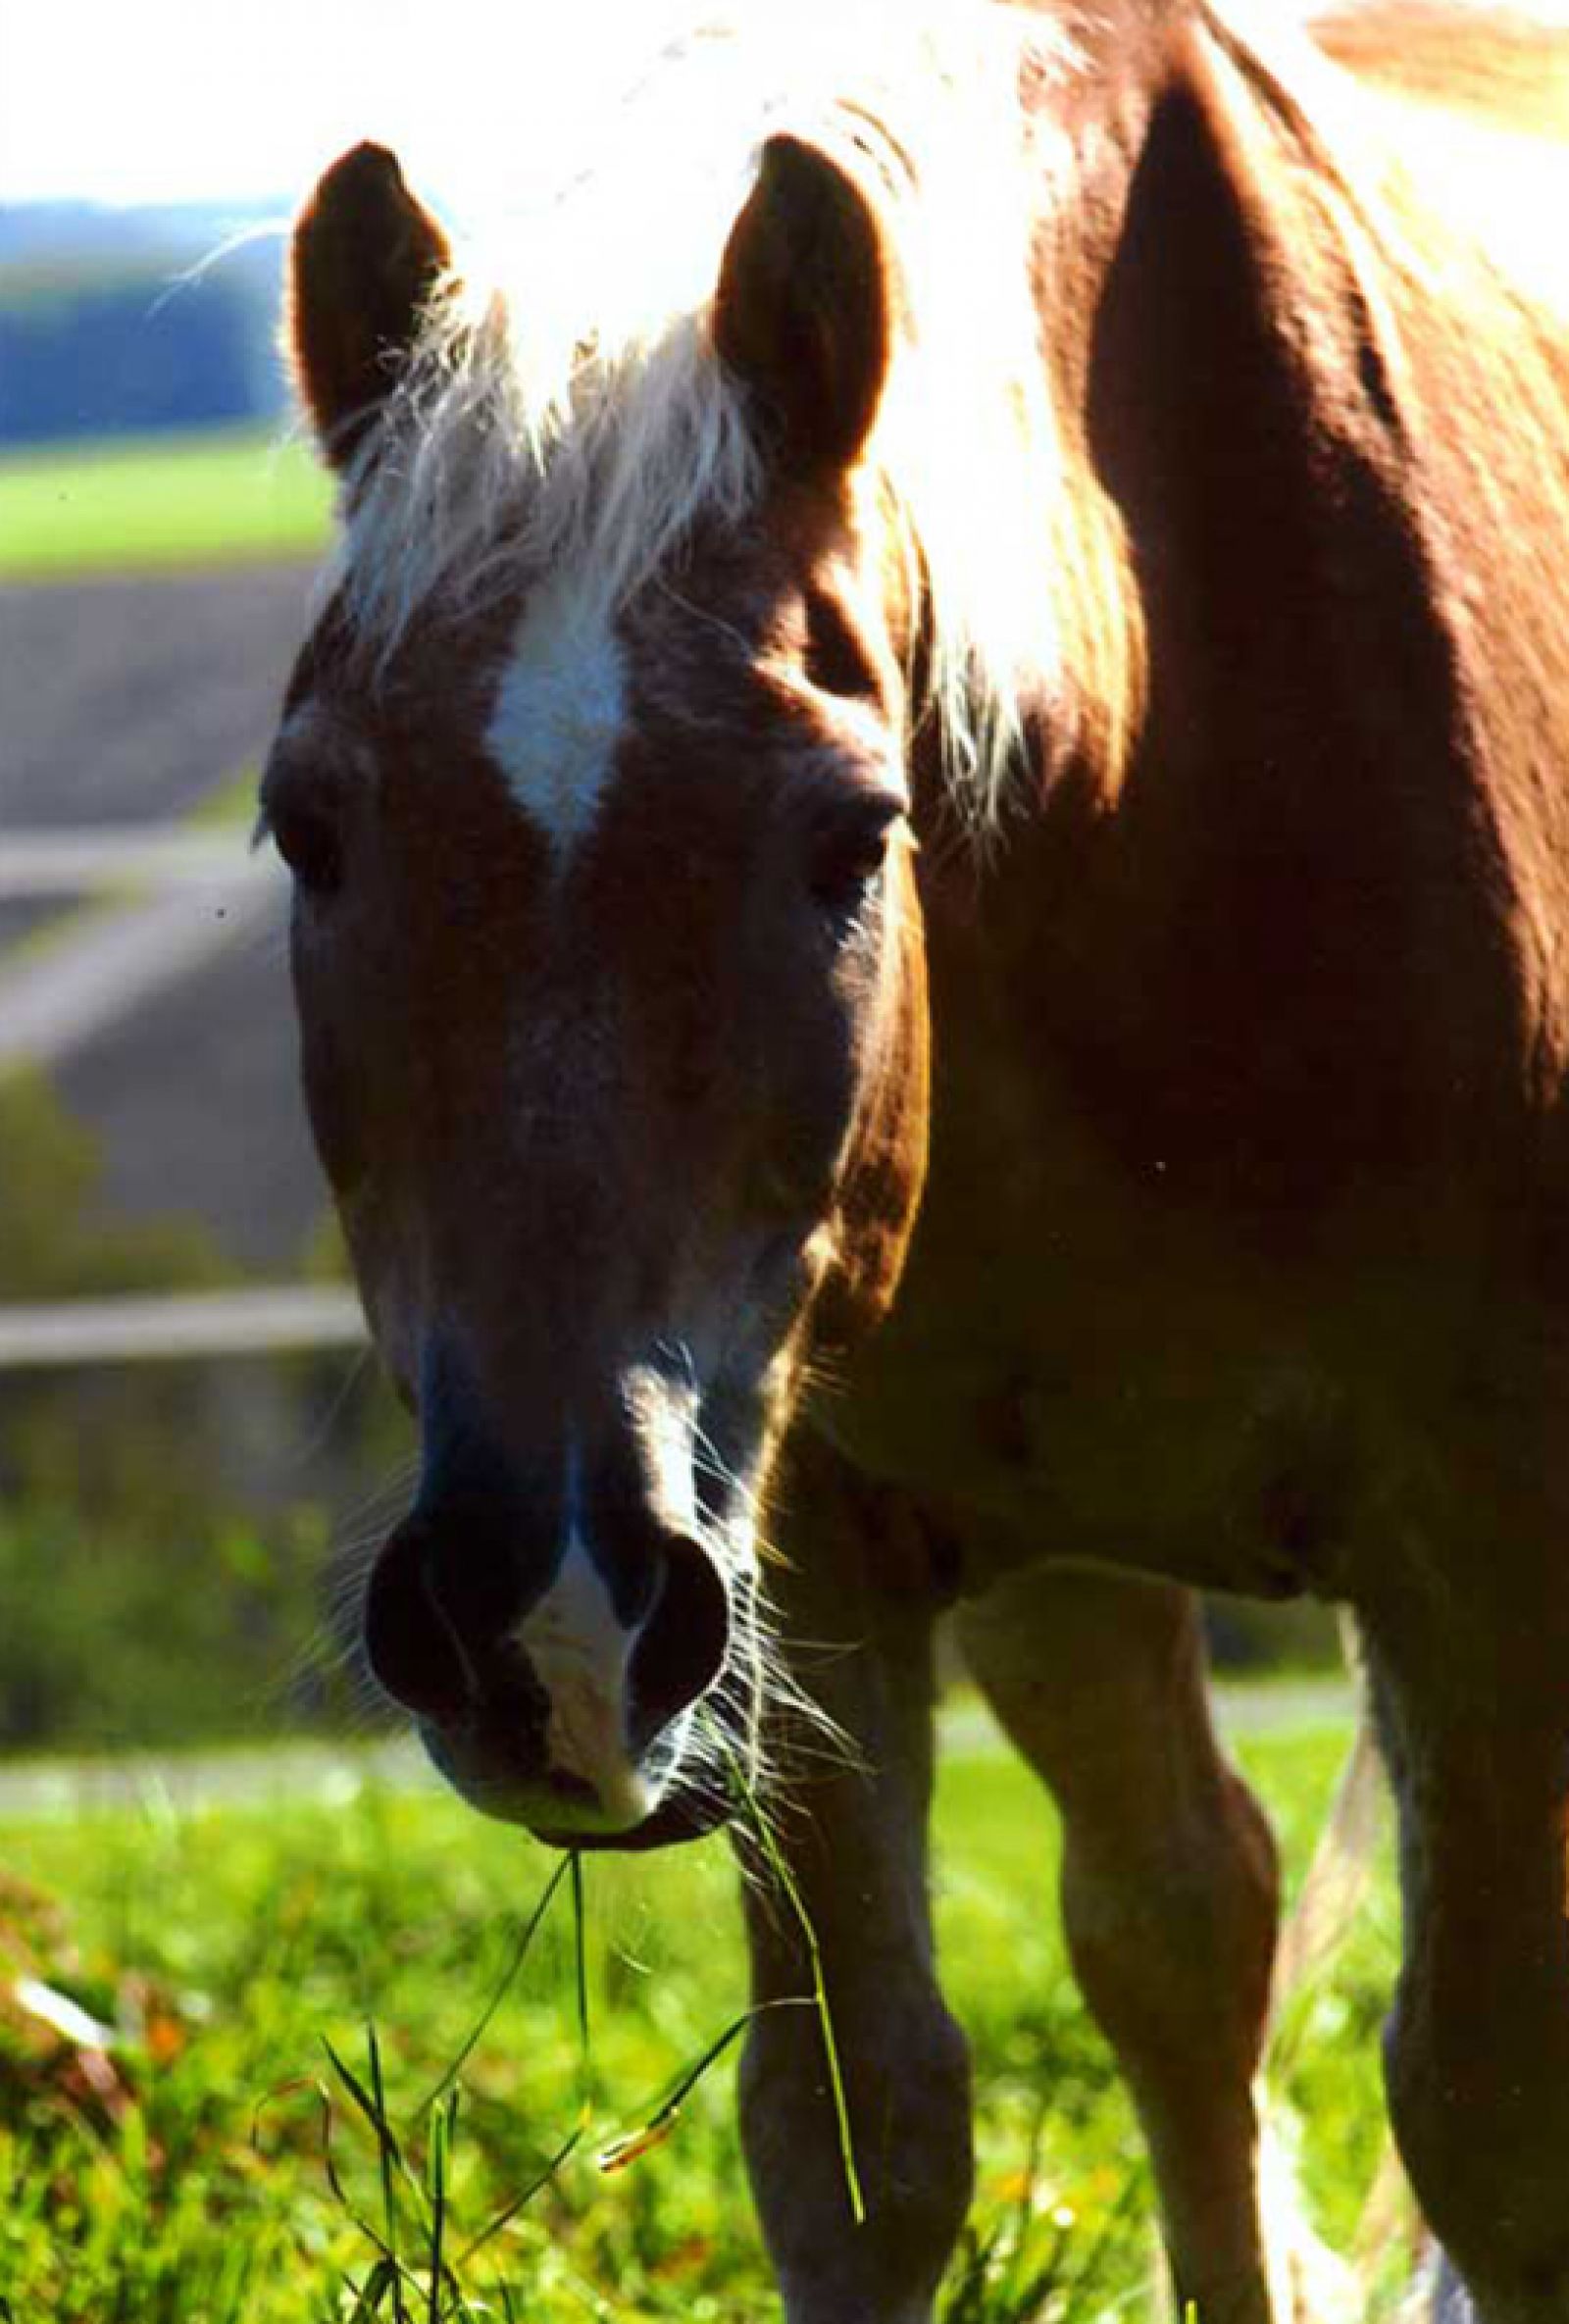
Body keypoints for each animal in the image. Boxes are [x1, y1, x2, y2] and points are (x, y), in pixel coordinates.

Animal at [264, 9, 1569, 2314]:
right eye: (310, 828)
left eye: (850, 835)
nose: (537, 1619)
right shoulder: (806, 1559)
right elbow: (860, 2142)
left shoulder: (1479, 1548)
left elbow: (1495, 2136)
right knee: (1183, 1931)